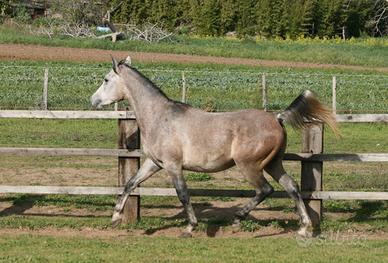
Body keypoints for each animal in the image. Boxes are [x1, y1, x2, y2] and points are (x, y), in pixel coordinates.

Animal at [90, 57, 336, 239]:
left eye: (106, 79)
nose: (92, 100)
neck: (161, 117)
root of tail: (277, 118)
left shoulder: (173, 165)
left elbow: (183, 194)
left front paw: (190, 228)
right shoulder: (154, 163)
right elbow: (130, 184)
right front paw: (115, 218)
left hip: (249, 165)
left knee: (265, 190)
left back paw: (237, 219)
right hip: (273, 164)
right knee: (292, 187)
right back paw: (304, 229)